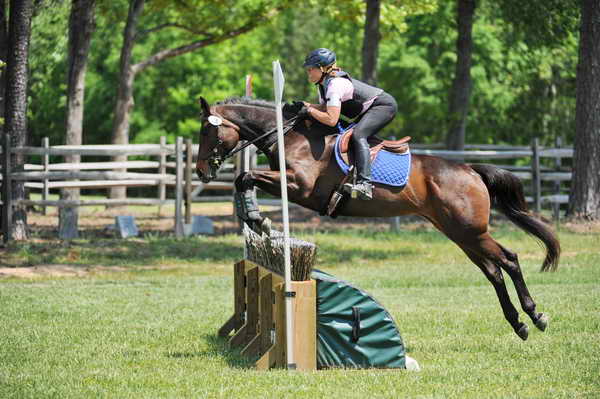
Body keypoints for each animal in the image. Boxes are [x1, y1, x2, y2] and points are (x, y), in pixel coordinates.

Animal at [198, 96, 564, 340]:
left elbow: (245, 176)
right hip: (459, 234)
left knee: (509, 260)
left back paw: (535, 315)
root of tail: (469, 170)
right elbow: (242, 178)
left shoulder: (301, 188)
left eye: (207, 132)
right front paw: (252, 217)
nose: (201, 171)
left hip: (471, 232)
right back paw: (518, 323)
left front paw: (257, 219)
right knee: (493, 271)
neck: (291, 136)